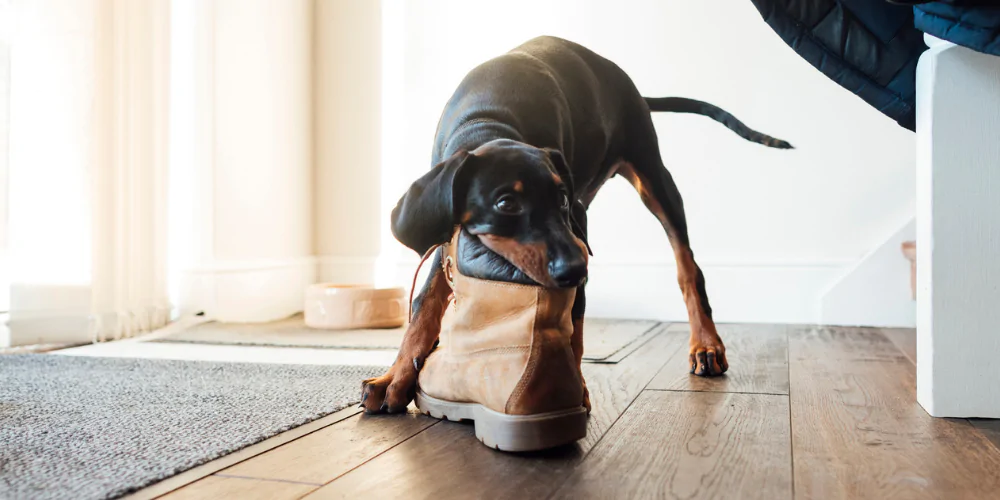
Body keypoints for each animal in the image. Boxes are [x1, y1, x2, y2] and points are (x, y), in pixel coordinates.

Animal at [360, 35, 788, 414]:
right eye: (506, 203)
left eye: (561, 199)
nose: (575, 269)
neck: (488, 123)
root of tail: (631, 87)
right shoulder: (449, 235)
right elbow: (424, 306)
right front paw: (394, 379)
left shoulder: (574, 228)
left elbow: (574, 326)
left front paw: (572, 388)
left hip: (652, 178)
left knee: (688, 267)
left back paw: (706, 344)